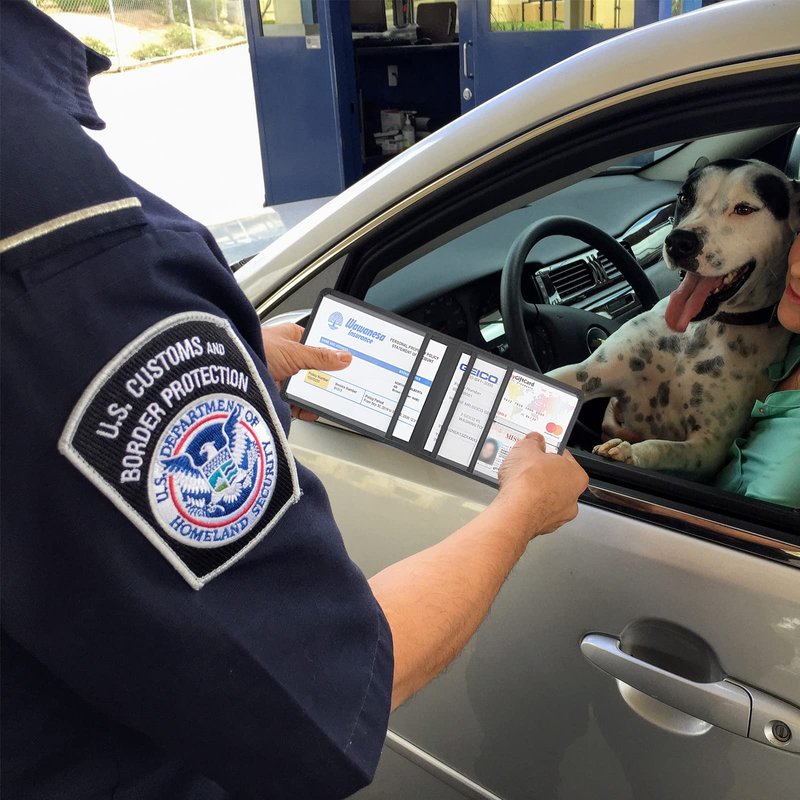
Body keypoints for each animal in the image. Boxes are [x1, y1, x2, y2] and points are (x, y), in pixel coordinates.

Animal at [548, 159, 799, 477]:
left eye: (744, 209)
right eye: (684, 198)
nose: (679, 241)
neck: (704, 330)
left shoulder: (709, 447)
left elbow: (663, 448)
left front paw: (630, 452)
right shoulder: (587, 373)